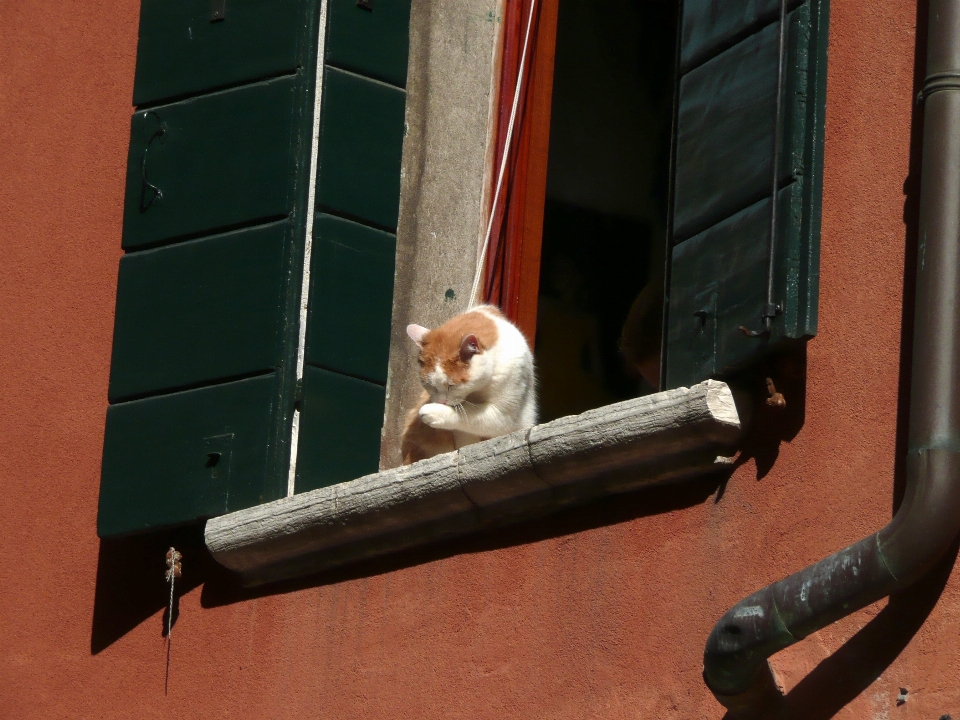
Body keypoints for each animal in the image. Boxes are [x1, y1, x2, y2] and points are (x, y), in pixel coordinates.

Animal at [396, 306, 532, 466]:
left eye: (451, 385)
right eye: (429, 385)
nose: (441, 401)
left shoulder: (504, 415)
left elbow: (469, 415)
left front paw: (434, 412)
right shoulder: (461, 432)